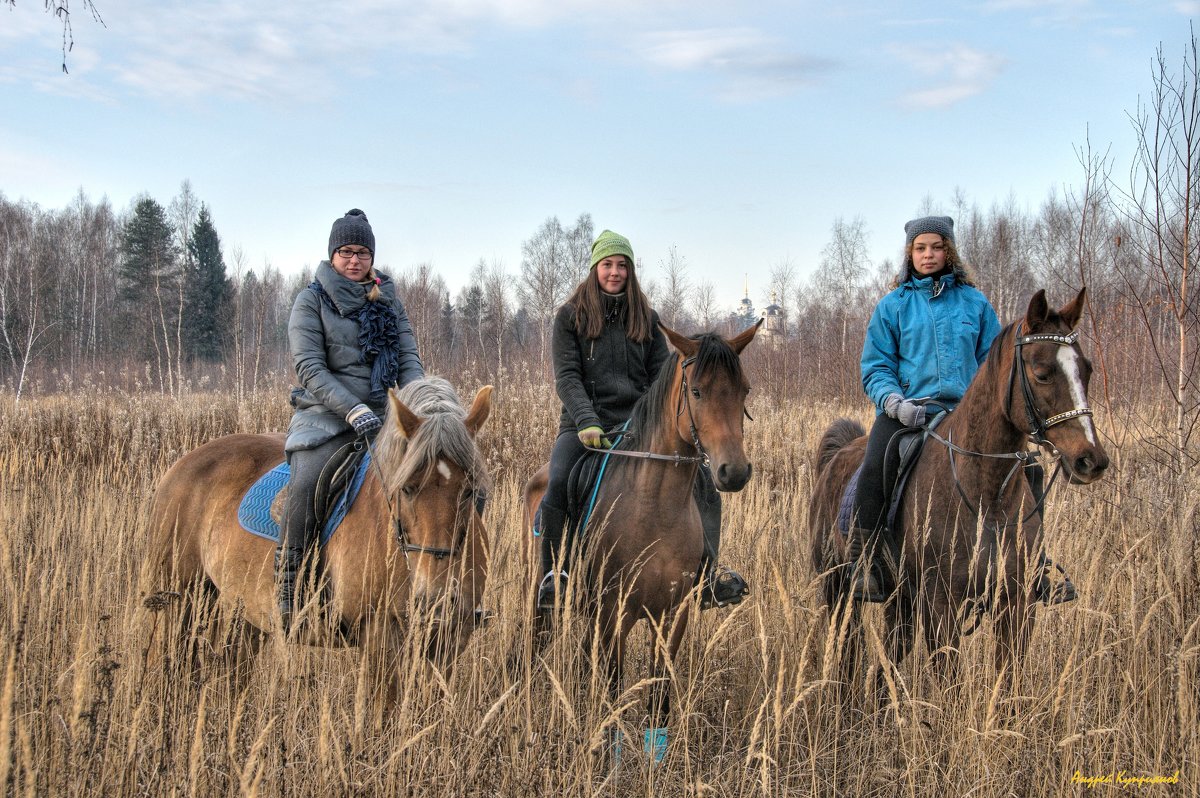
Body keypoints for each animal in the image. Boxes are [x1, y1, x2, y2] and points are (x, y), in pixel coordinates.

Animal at [144, 376, 492, 681]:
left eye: (469, 490)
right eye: (406, 488)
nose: (436, 600)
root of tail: (181, 465)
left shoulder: (449, 641)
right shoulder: (378, 634)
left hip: (242, 613)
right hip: (182, 602)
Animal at [518, 321, 758, 758]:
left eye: (744, 389)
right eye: (696, 391)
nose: (733, 472)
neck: (654, 506)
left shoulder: (673, 613)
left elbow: (660, 685)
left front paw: (655, 755)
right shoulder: (617, 612)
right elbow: (614, 685)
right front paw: (611, 751)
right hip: (545, 594)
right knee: (536, 643)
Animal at [811, 289, 1108, 686]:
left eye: (1086, 370)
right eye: (1042, 373)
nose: (1091, 460)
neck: (987, 496)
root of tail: (836, 458)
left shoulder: (1017, 603)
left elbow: (1009, 681)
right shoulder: (941, 605)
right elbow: (950, 683)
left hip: (899, 602)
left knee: (886, 663)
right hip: (839, 591)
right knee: (845, 652)